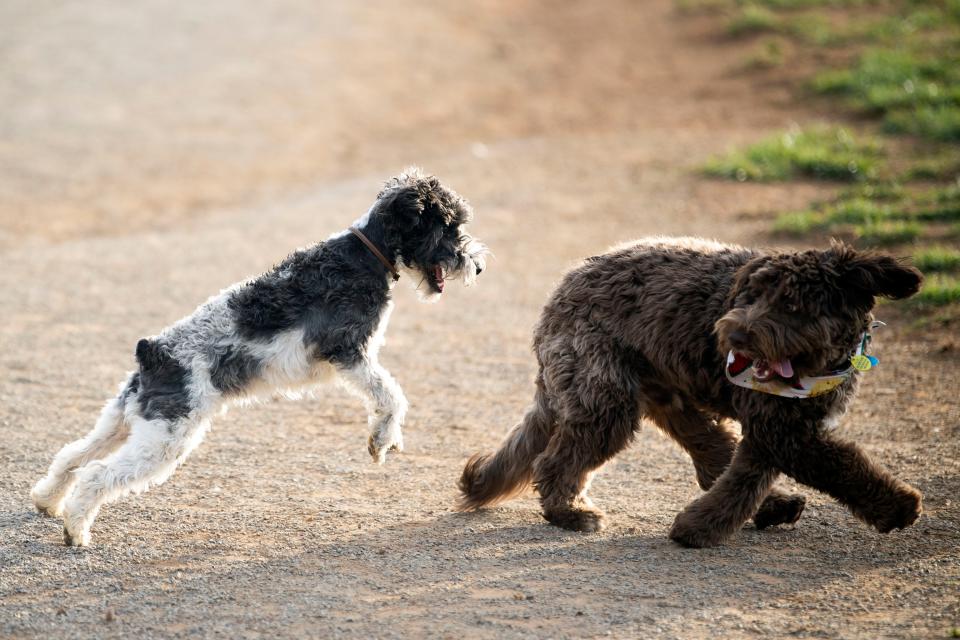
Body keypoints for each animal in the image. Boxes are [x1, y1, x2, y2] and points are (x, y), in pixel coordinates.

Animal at [31, 168, 488, 544]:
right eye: (448, 227)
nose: (478, 267)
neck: (363, 254)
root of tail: (153, 352)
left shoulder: (353, 358)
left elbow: (389, 395)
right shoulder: (349, 353)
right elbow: (392, 395)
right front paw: (383, 440)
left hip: (122, 423)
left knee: (72, 456)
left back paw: (48, 502)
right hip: (163, 441)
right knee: (96, 474)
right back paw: (76, 532)